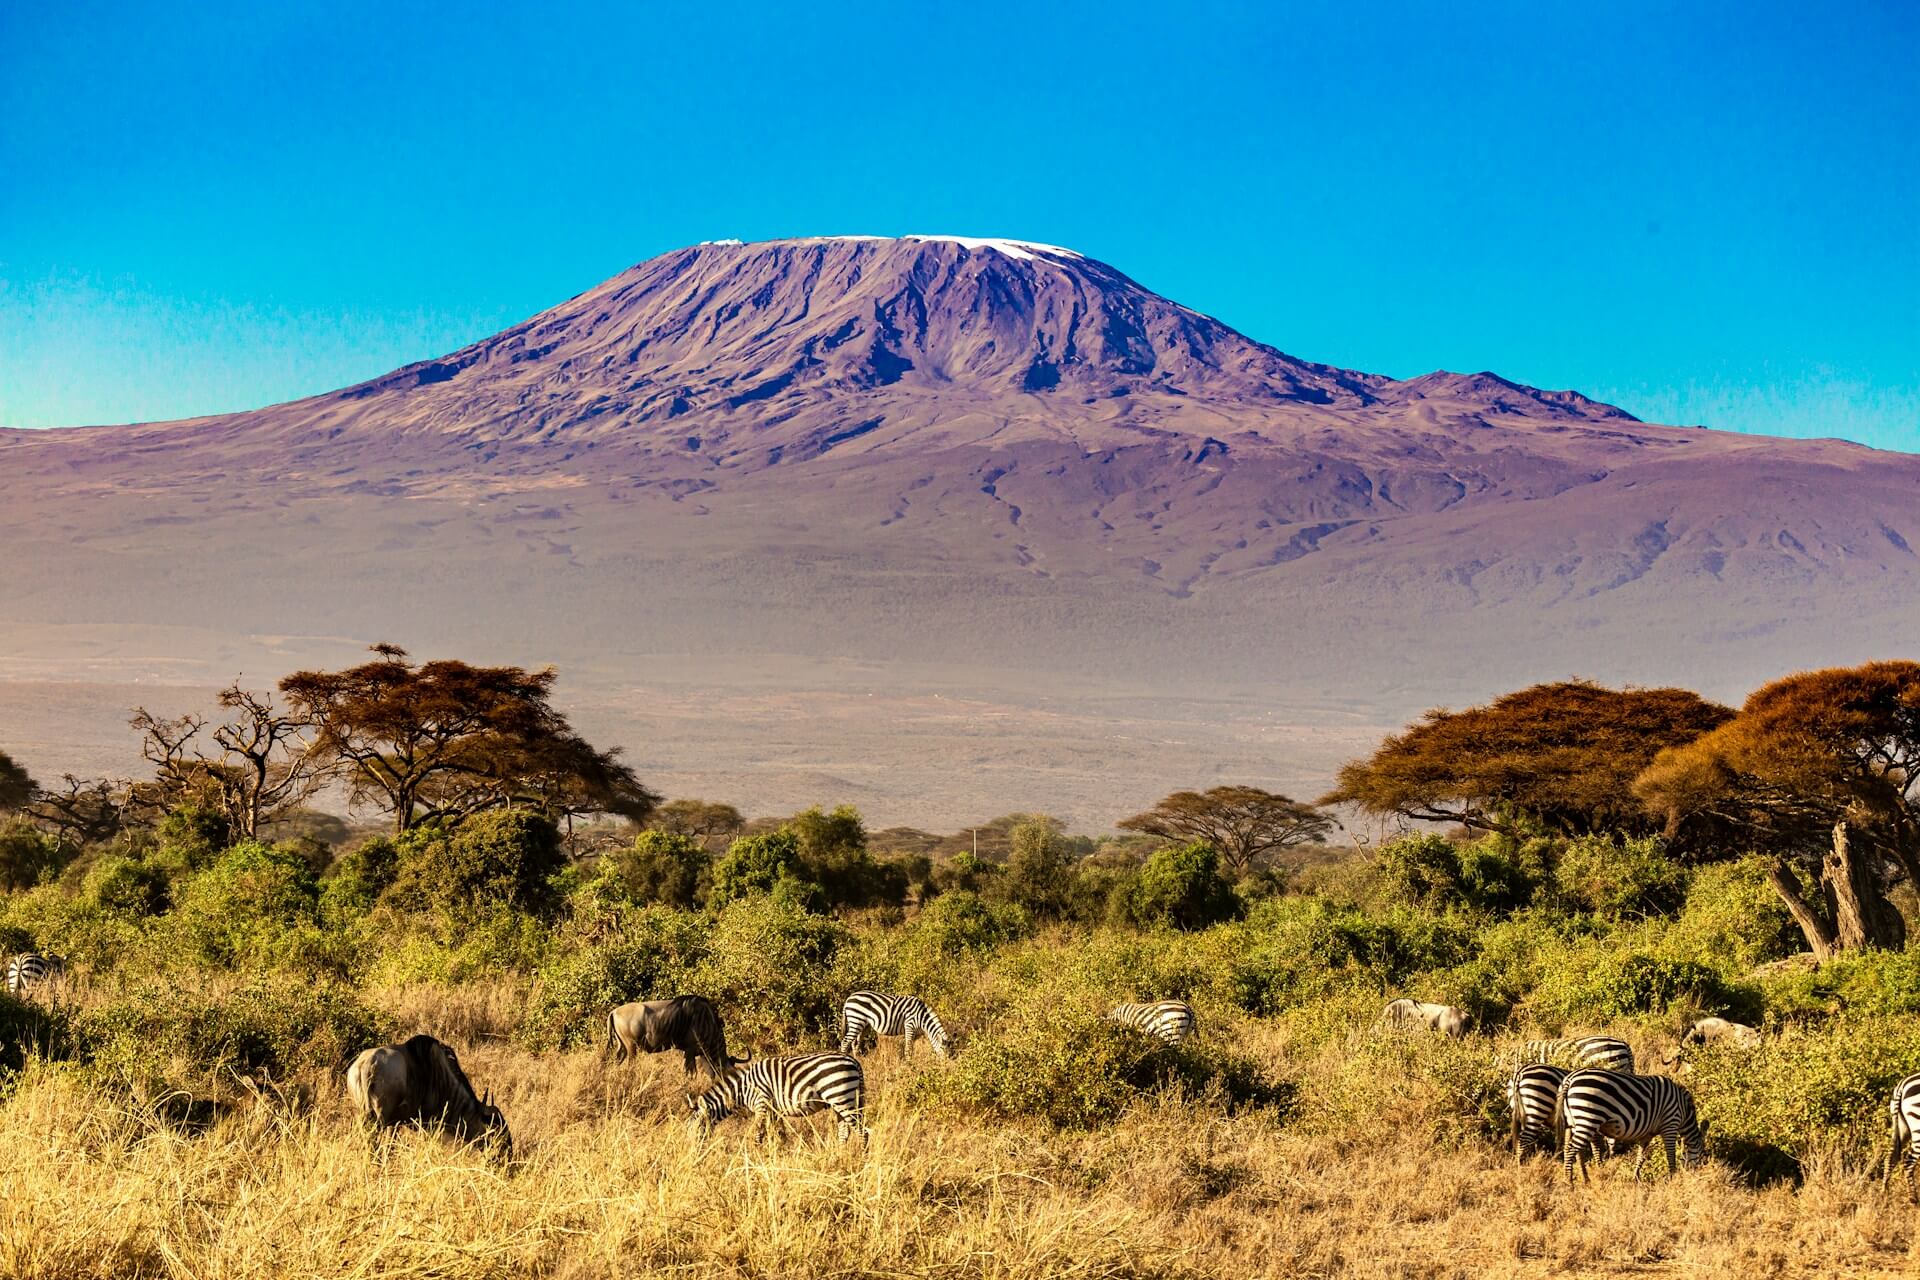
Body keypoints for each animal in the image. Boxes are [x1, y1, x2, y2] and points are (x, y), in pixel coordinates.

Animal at [687, 1059, 867, 1143]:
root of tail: (853, 1060)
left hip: (842, 1098)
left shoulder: (761, 1104)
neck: (741, 1090)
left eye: (697, 1127)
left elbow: (757, 1132)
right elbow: (775, 1133)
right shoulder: (772, 1110)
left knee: (862, 1132)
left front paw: (757, 1158)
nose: (693, 1154)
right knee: (844, 1132)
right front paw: (776, 1153)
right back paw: (839, 1157)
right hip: (840, 1102)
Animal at [1559, 1066, 1712, 1189]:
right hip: (1588, 1118)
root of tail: (1570, 1079)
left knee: (1572, 1149)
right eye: (1702, 1154)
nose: (1698, 1177)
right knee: (1571, 1149)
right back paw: (1569, 1183)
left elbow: (1641, 1156)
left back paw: (1584, 1180)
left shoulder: (1647, 1134)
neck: (1683, 1110)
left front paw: (1636, 1178)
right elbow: (1670, 1154)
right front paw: (1672, 1177)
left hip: (1573, 1122)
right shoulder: (1670, 1124)